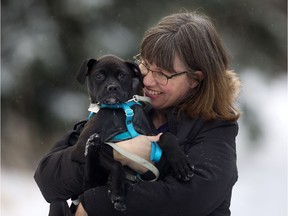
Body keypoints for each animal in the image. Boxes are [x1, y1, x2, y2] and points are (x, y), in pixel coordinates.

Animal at [70, 54, 192, 212]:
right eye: (99, 76)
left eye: (122, 75)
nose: (112, 87)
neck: (120, 110)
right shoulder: (79, 150)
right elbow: (115, 163)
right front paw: (117, 193)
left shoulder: (151, 134)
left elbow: (167, 136)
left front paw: (181, 162)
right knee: (91, 174)